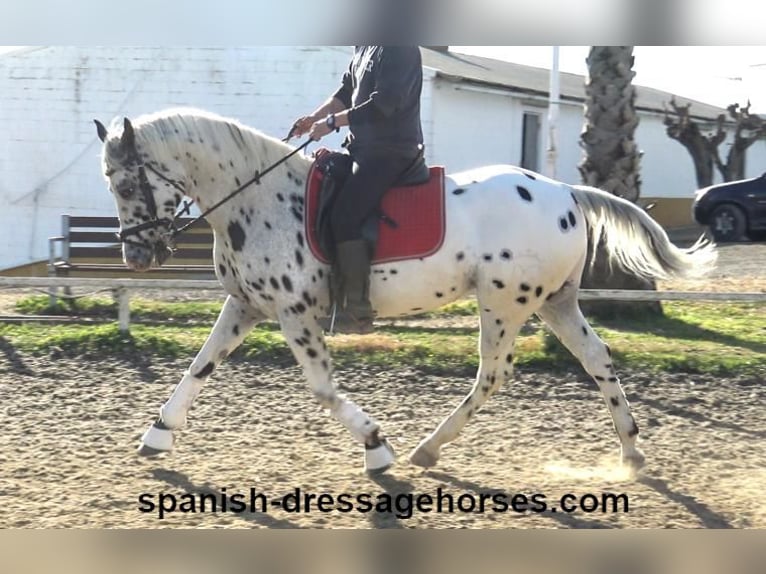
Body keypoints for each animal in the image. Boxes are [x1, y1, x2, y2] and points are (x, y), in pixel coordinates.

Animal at [96, 108, 720, 476]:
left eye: (124, 182)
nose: (136, 257)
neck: (259, 197)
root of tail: (565, 191)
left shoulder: (295, 312)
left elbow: (322, 389)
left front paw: (377, 447)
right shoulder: (247, 304)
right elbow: (199, 366)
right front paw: (157, 436)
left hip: (504, 302)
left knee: (493, 374)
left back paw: (428, 447)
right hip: (555, 302)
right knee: (595, 358)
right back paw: (632, 451)